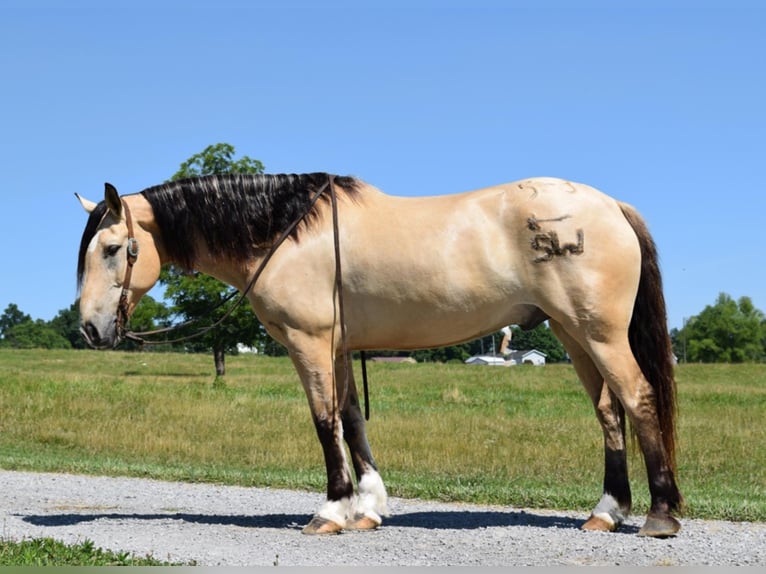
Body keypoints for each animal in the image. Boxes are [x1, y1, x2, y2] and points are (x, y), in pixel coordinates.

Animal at [76, 174, 684, 540]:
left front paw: (329, 511)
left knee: (639, 398)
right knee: (609, 413)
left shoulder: (308, 342)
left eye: (112, 249)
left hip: (599, 334)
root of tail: (610, 206)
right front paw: (365, 507)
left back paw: (660, 515)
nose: (88, 328)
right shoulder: (340, 347)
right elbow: (352, 420)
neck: (285, 234)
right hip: (573, 334)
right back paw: (606, 512)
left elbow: (324, 422)